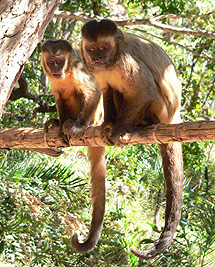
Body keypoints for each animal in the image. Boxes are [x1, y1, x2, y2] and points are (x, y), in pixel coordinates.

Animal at [40, 39, 105, 253]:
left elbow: (94, 92)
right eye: (51, 62)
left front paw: (78, 126)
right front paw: (60, 126)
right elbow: (59, 97)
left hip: (98, 116)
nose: (56, 69)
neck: (66, 73)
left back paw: (77, 124)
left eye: (60, 61)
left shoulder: (78, 68)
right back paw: (62, 124)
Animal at [81, 19, 184, 260]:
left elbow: (143, 91)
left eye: (104, 48)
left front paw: (118, 130)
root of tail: (174, 115)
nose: (98, 57)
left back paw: (140, 124)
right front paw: (107, 126)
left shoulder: (125, 62)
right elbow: (107, 90)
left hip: (163, 110)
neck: (112, 60)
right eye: (92, 49)